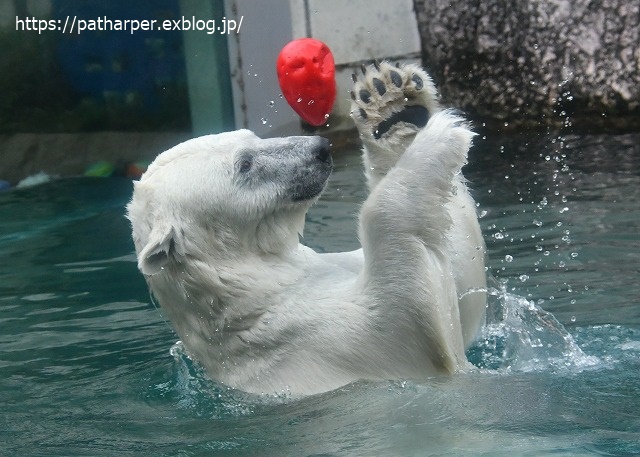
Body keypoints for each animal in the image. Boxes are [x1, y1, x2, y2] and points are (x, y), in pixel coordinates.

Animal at [127, 60, 484, 396]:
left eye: (252, 137)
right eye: (245, 165)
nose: (320, 149)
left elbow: (462, 282)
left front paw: (390, 104)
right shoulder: (328, 340)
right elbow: (406, 319)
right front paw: (442, 134)